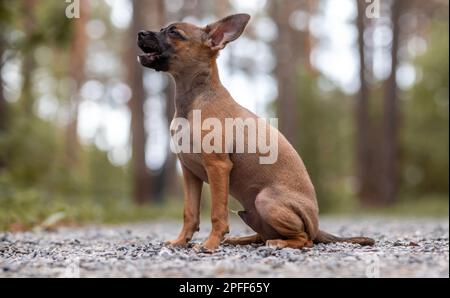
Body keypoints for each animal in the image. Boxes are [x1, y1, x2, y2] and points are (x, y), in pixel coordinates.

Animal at [138, 13, 376, 251]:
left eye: (174, 32)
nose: (140, 33)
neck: (194, 100)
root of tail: (316, 227)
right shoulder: (189, 172)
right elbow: (189, 213)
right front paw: (180, 241)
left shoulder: (217, 166)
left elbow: (217, 213)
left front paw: (210, 244)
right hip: (249, 211)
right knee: (263, 235)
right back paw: (238, 240)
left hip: (265, 200)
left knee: (304, 240)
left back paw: (277, 242)